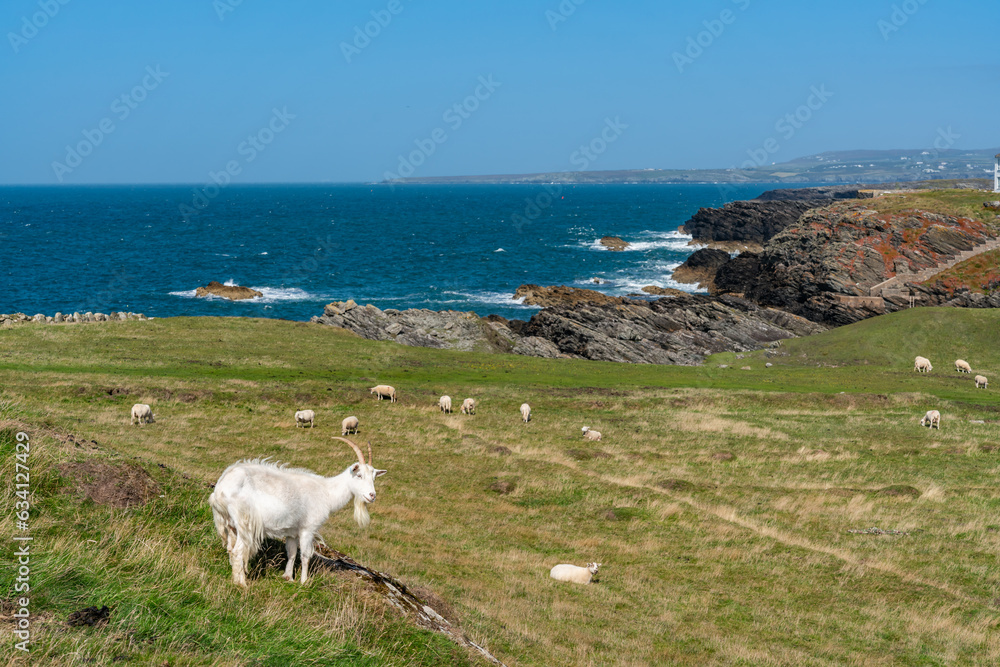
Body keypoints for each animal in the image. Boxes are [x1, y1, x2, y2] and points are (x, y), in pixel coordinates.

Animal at [208, 437, 387, 587]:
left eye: (374, 478)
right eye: (359, 475)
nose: (372, 495)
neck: (327, 492)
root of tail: (220, 489)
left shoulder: (292, 531)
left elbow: (292, 552)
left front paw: (288, 577)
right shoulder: (308, 528)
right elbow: (305, 555)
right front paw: (304, 582)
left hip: (231, 524)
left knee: (230, 549)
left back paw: (236, 577)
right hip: (245, 522)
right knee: (238, 551)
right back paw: (242, 584)